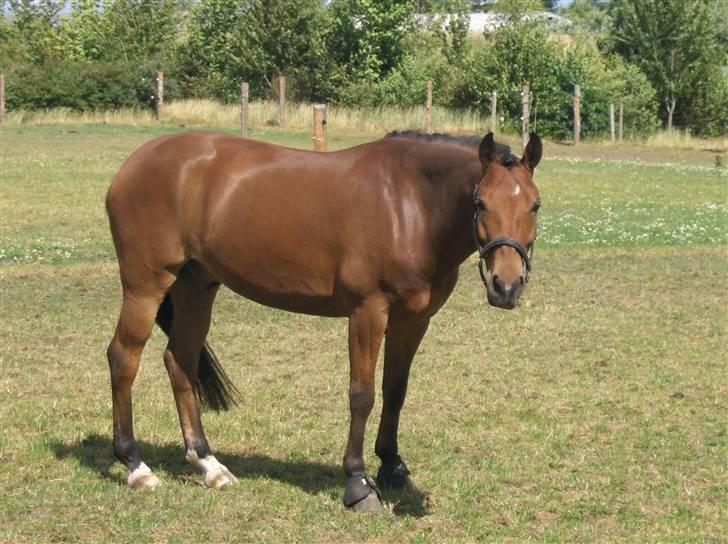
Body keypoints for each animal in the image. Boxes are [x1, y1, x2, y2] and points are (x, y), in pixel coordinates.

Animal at [105, 129, 542, 513]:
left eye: (535, 205)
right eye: (480, 203)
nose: (506, 286)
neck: (410, 204)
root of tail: (132, 165)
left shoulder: (412, 322)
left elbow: (395, 392)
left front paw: (393, 468)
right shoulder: (368, 313)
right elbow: (362, 395)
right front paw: (359, 483)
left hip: (195, 286)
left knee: (179, 361)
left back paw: (208, 464)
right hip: (146, 285)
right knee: (123, 358)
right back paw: (135, 466)